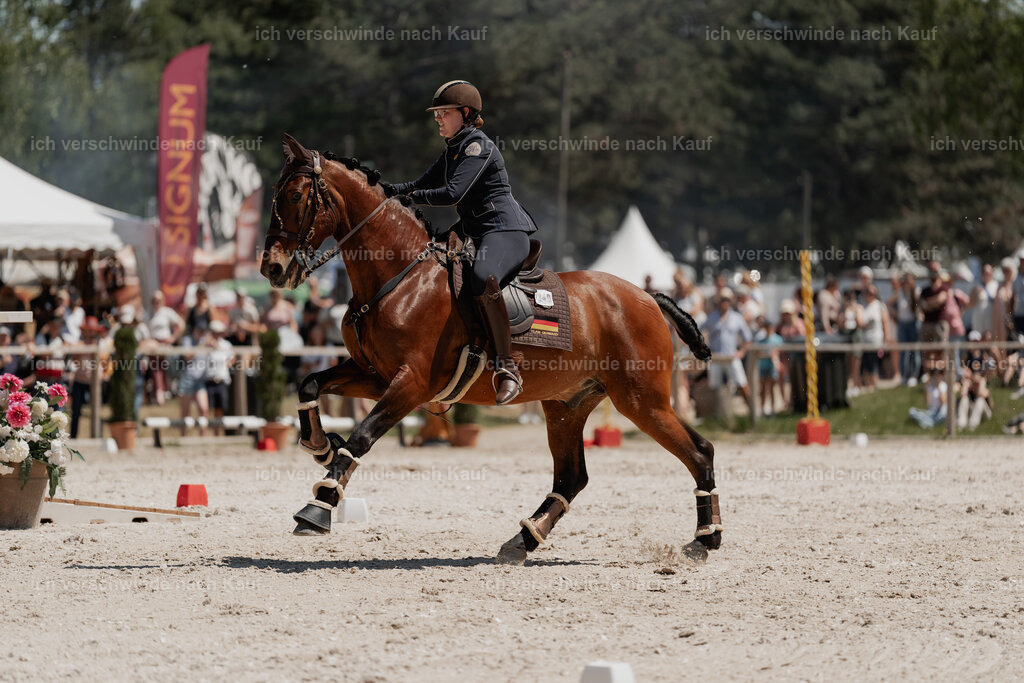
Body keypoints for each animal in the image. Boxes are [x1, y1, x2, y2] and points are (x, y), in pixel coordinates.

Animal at [259, 133, 722, 564]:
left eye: (295, 196)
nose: (273, 269)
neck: (399, 275)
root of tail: (646, 297)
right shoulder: (374, 374)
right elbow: (309, 384)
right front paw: (319, 444)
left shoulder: (411, 384)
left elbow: (362, 436)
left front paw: (318, 507)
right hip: (567, 405)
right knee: (572, 477)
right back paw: (524, 539)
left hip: (641, 400)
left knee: (699, 451)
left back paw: (706, 538)